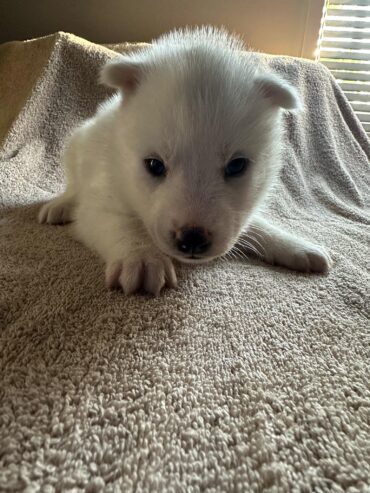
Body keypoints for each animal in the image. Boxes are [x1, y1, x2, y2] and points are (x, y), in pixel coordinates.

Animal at [38, 26, 332, 294]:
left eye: (236, 166)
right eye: (154, 165)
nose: (192, 239)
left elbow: (255, 225)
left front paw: (294, 245)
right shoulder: (100, 202)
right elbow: (122, 224)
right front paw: (142, 258)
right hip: (74, 147)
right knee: (73, 187)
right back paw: (58, 206)